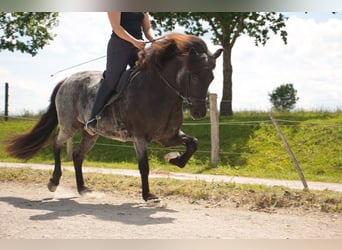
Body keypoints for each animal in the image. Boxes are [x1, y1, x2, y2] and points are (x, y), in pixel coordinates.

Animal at [6, 33, 224, 201]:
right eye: (194, 76)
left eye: (211, 77)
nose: (199, 113)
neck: (157, 91)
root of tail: (67, 80)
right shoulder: (140, 137)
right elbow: (144, 166)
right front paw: (148, 196)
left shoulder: (167, 137)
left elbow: (193, 143)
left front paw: (175, 160)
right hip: (69, 126)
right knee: (56, 143)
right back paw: (53, 181)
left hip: (90, 133)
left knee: (77, 155)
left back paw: (83, 189)